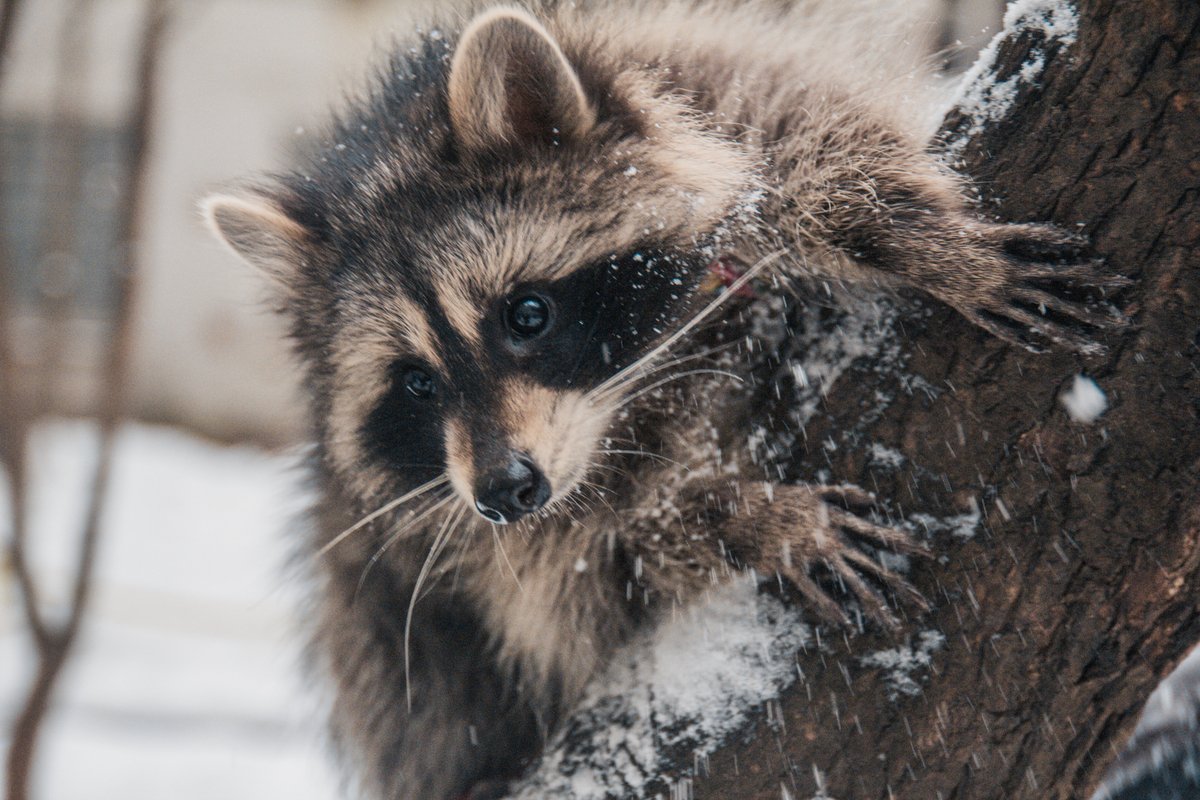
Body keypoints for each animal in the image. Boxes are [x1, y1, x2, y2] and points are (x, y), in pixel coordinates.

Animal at [199, 3, 1123, 796]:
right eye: (417, 382)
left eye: (526, 314)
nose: (506, 491)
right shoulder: (485, 541)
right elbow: (615, 562)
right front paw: (743, 518)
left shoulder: (704, 79)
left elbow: (813, 137)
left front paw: (926, 243)